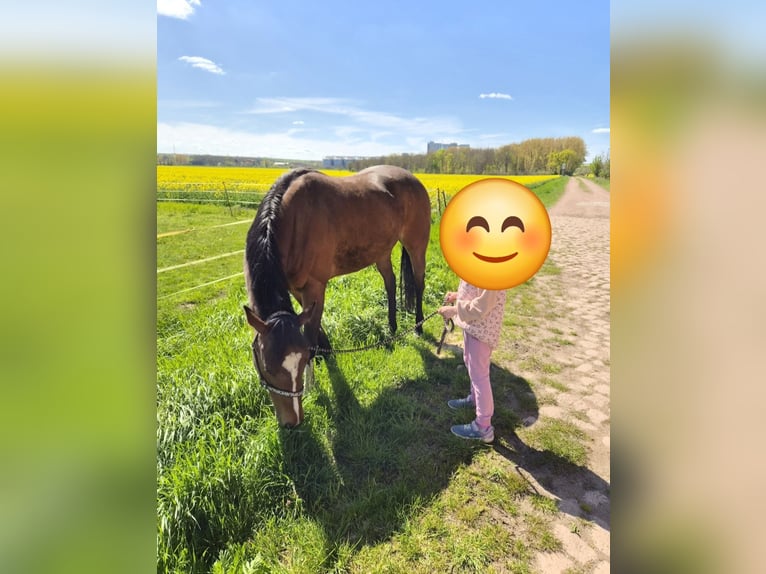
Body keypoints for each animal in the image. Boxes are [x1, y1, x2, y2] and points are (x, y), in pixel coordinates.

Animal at [243, 165, 431, 428]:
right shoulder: (296, 288)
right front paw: (327, 352)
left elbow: (311, 329)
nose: (292, 422)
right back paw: (392, 328)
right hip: (381, 251)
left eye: (300, 362)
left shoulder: (315, 285)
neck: (290, 220)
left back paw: (418, 326)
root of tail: (413, 179)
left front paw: (314, 377)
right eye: (267, 368)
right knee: (391, 284)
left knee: (419, 282)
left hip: (416, 245)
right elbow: (311, 323)